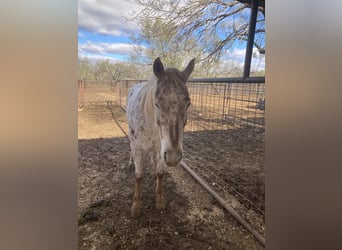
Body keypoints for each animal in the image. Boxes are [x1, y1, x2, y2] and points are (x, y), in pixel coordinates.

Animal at [126, 56, 195, 217]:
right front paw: (136, 207)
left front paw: (160, 201)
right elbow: (139, 176)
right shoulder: (138, 149)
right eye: (157, 104)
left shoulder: (161, 150)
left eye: (188, 103)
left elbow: (160, 173)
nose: (174, 156)